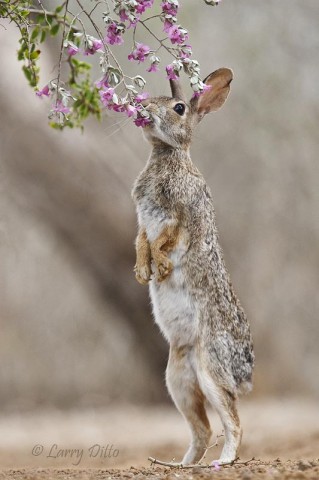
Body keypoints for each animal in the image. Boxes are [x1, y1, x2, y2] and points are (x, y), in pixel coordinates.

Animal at [131, 67, 255, 464]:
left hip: (210, 367)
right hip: (177, 377)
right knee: (202, 429)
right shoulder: (143, 220)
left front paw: (161, 267)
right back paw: (178, 465)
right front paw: (142, 272)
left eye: (179, 108)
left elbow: (164, 240)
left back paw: (223, 461)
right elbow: (142, 240)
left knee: (233, 421)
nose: (143, 108)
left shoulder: (181, 215)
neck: (168, 153)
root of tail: (245, 372)